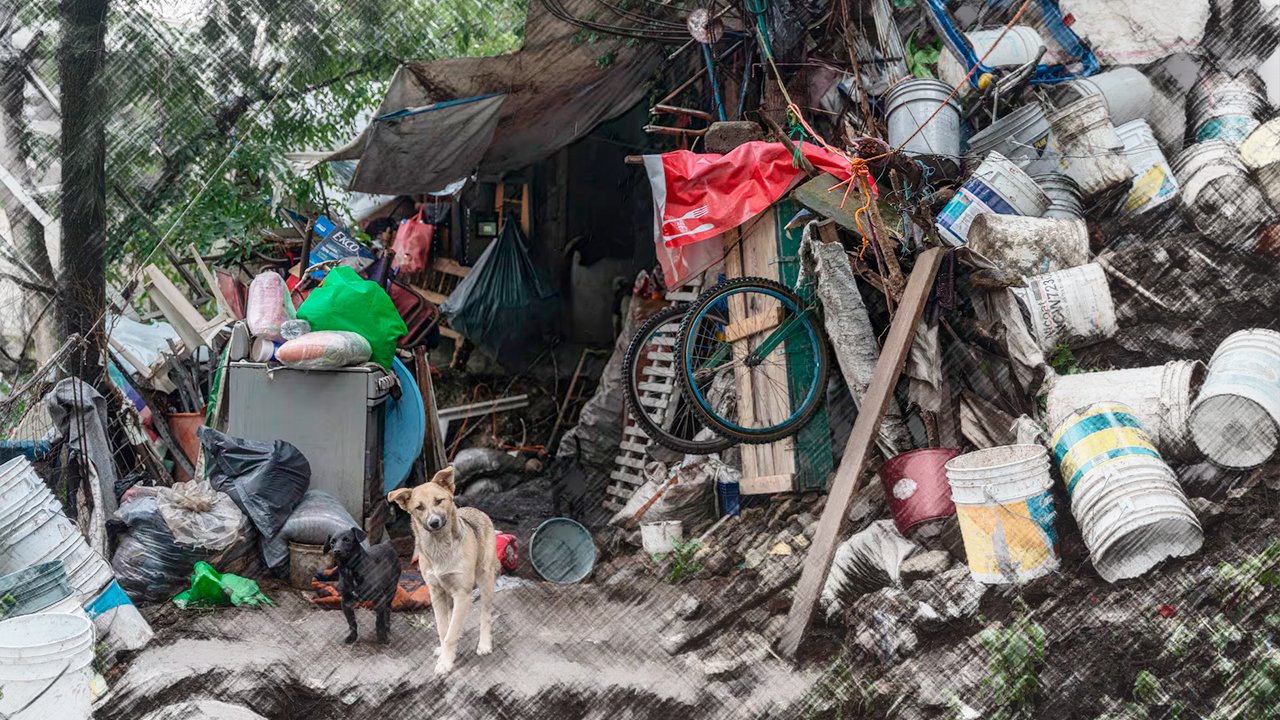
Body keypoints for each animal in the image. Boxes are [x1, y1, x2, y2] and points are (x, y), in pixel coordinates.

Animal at [386, 466, 496, 671]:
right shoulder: (436, 593)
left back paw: (485, 644)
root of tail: (476, 510)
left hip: (485, 581)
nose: (434, 522)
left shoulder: (462, 593)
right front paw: (446, 653)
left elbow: (451, 633)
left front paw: (445, 663)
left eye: (439, 501)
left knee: (485, 615)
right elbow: (444, 628)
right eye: (419, 507)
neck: (439, 548)